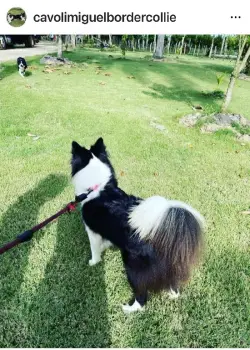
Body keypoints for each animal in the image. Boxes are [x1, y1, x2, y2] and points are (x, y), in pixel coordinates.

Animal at [71, 138, 204, 314]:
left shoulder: (92, 232)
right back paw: (172, 295)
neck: (99, 187)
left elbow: (95, 250)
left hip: (132, 267)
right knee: (174, 286)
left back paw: (129, 309)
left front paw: (94, 262)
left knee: (141, 296)